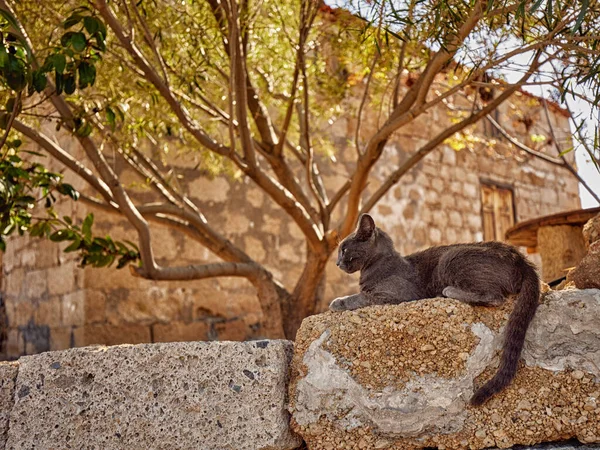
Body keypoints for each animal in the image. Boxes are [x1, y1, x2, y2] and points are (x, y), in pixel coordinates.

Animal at [330, 213, 540, 406]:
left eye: (344, 249)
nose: (337, 263)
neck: (376, 266)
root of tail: (521, 259)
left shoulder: (395, 296)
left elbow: (361, 297)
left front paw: (337, 302)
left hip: (451, 258)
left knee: (494, 296)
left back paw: (447, 292)